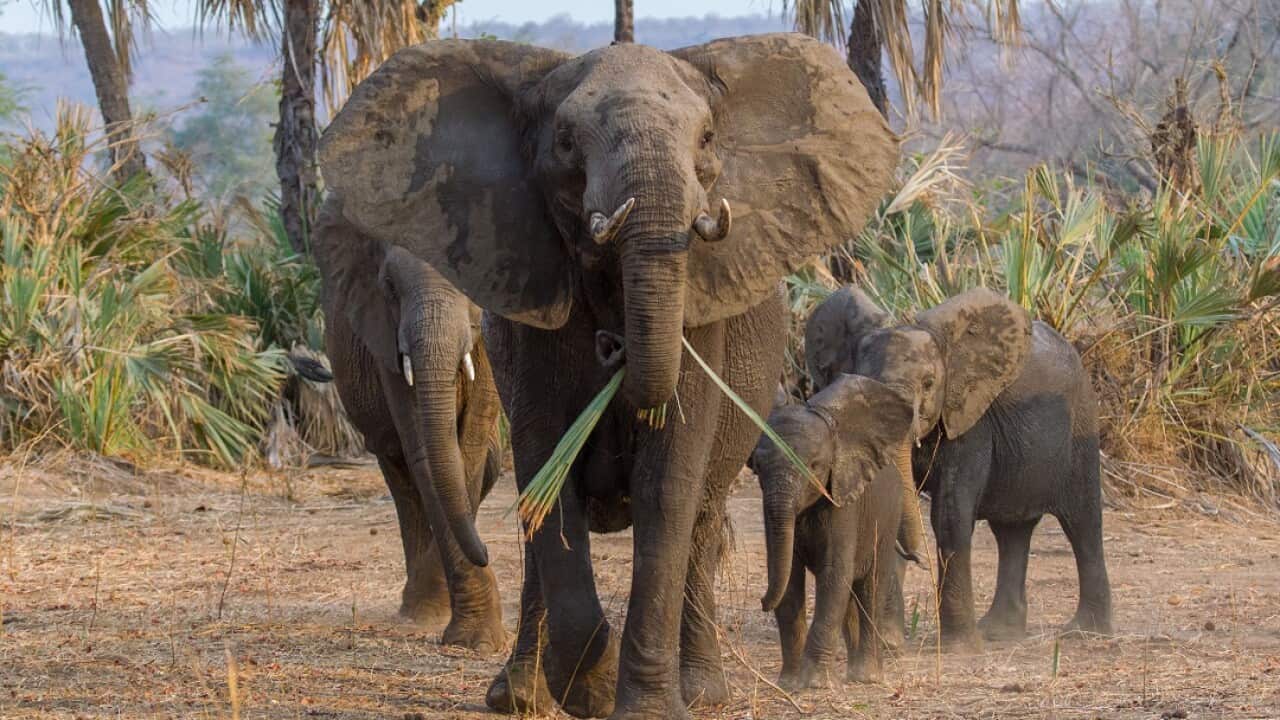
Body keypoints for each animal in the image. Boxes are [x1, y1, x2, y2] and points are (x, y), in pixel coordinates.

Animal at [299, 203, 506, 652]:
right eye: (390, 286)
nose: (485, 552)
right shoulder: (385, 337)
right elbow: (425, 451)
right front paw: (471, 637)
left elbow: (471, 445)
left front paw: (474, 639)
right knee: (400, 472)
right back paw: (418, 608)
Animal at [752, 374, 913, 690]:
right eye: (758, 467)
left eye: (814, 465)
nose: (762, 603)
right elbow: (789, 579)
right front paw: (789, 683)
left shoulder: (843, 500)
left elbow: (833, 573)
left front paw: (815, 684)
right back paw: (851, 674)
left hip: (889, 515)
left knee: (870, 587)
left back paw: (866, 677)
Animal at [804, 285, 1113, 651]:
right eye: (865, 384)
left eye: (928, 384)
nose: (916, 558)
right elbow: (888, 509)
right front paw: (891, 647)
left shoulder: (970, 419)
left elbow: (949, 515)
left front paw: (960, 649)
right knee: (1011, 530)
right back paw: (999, 632)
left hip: (1082, 422)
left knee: (1082, 522)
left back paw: (1086, 632)